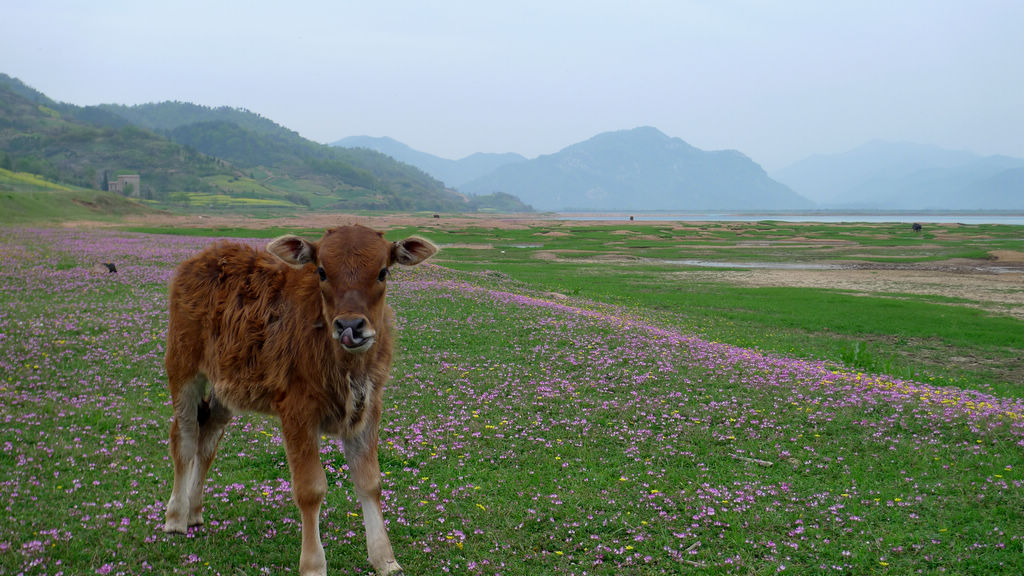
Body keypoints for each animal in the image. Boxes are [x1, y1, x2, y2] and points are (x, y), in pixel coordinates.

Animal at [160, 224, 436, 573]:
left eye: (383, 271)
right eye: (321, 271)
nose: (350, 326)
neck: (345, 369)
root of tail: (202, 258)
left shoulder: (369, 405)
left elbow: (370, 481)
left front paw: (385, 558)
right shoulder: (296, 408)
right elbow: (310, 489)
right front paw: (313, 564)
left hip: (226, 386)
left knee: (208, 437)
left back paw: (195, 511)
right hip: (182, 366)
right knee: (183, 436)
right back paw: (175, 517)